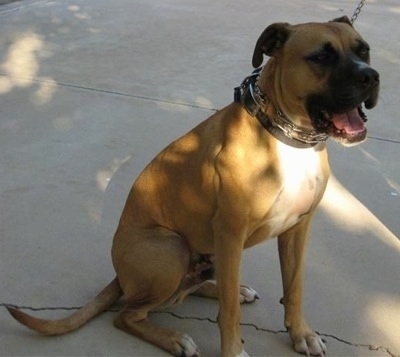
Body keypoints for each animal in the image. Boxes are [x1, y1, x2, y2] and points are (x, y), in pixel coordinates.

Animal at [7, 16, 380, 356]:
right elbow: (228, 313)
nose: (371, 76)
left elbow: (294, 289)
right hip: (171, 249)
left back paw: (225, 289)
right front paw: (233, 351)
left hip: (204, 254)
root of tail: (119, 275)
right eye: (321, 57)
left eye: (364, 50)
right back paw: (174, 338)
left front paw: (301, 334)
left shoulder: (297, 229)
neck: (286, 137)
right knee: (128, 314)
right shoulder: (230, 234)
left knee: (197, 288)